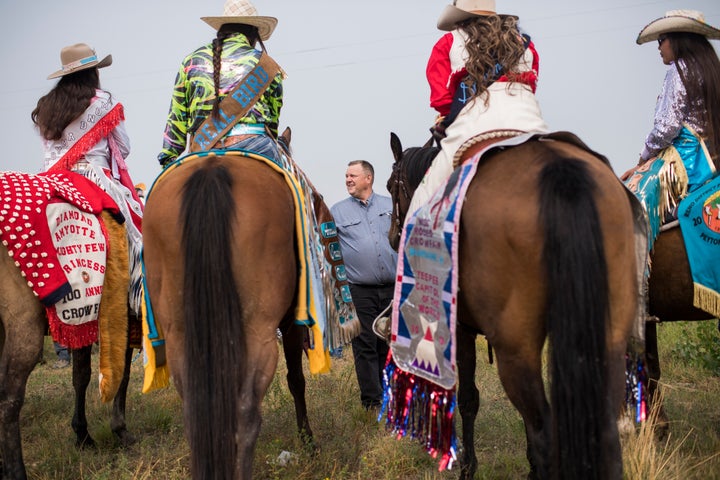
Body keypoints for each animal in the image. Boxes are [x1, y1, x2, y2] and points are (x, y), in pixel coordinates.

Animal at [0, 211, 136, 480]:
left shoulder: (83, 323)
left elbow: (80, 376)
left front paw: (82, 435)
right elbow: (122, 375)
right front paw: (120, 429)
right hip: (23, 326)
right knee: (9, 399)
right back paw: (16, 471)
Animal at [142, 132, 316, 480]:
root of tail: (211, 171)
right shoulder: (290, 323)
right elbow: (296, 379)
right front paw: (308, 440)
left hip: (181, 331)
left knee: (196, 412)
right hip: (259, 330)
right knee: (248, 411)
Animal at [386, 132, 640, 480]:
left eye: (389, 186)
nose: (392, 237)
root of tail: (561, 172)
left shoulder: (462, 330)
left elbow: (468, 399)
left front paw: (468, 468)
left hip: (515, 349)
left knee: (545, 429)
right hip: (607, 340)